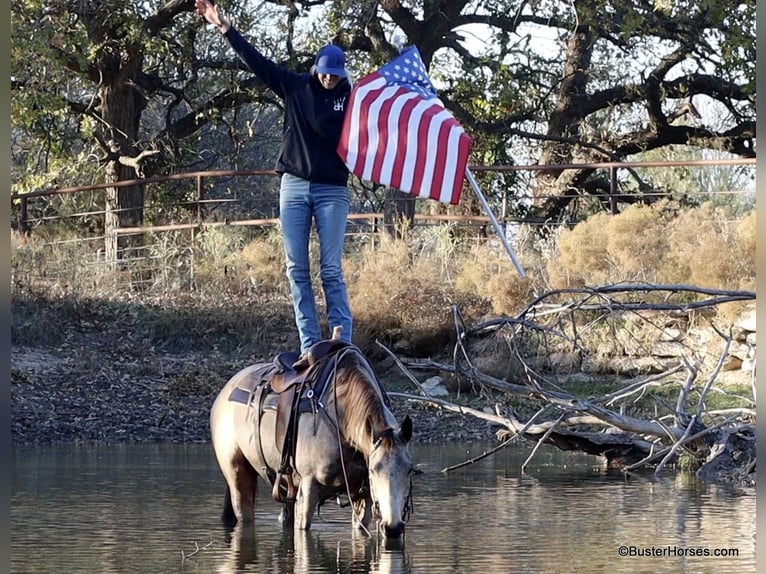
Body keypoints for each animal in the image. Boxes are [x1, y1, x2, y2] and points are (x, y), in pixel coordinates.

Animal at [209, 339, 414, 538]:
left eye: (409, 470)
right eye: (373, 470)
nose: (393, 527)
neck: (340, 414)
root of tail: (225, 390)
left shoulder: (364, 496)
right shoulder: (308, 486)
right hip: (237, 475)